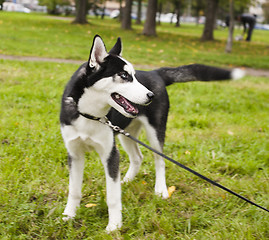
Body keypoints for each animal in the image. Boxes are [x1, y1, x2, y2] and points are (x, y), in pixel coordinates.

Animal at [59, 34, 244, 232]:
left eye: (133, 75)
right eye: (124, 75)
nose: (150, 96)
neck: (89, 115)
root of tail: (155, 73)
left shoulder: (110, 154)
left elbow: (113, 197)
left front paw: (114, 225)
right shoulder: (74, 154)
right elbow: (74, 190)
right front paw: (68, 215)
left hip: (155, 133)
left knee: (160, 160)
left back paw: (161, 189)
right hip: (125, 133)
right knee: (137, 157)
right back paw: (126, 181)